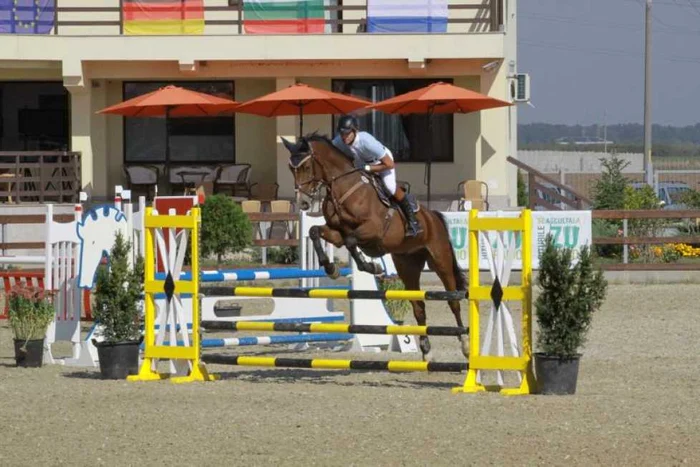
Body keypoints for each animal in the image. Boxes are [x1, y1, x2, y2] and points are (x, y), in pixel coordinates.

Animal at [282, 133, 468, 362]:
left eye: (307, 167)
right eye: (291, 168)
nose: (304, 204)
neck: (343, 188)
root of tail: (433, 215)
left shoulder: (373, 230)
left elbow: (351, 242)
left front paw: (372, 267)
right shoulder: (336, 233)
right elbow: (316, 231)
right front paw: (331, 268)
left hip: (440, 261)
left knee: (453, 301)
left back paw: (465, 345)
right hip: (407, 266)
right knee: (419, 307)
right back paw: (426, 351)